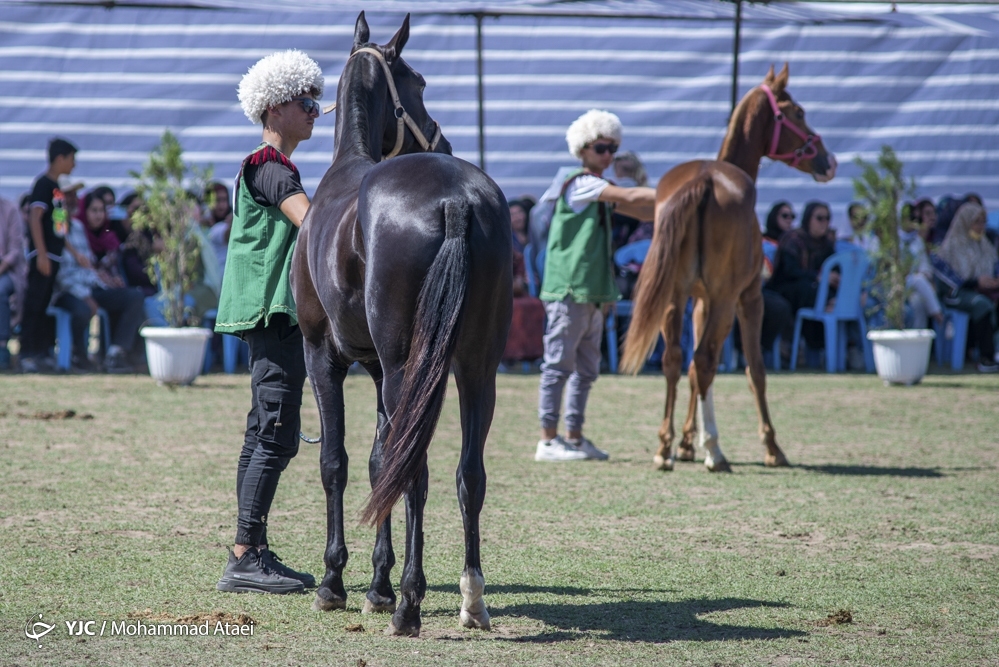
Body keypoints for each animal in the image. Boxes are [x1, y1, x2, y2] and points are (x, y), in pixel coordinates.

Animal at [288, 10, 508, 636]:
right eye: (423, 83)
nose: (445, 137)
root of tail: (456, 200)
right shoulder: (380, 371)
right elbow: (379, 460)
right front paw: (378, 585)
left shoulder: (325, 357)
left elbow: (337, 463)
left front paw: (338, 582)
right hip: (475, 369)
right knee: (466, 473)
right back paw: (471, 600)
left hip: (409, 366)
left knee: (419, 471)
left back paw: (411, 604)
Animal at [616, 66, 836, 474]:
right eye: (798, 112)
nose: (828, 161)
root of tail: (703, 179)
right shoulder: (747, 299)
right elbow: (755, 370)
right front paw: (771, 447)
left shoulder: (699, 302)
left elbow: (693, 370)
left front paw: (687, 442)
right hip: (725, 299)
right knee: (704, 360)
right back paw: (715, 452)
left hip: (675, 297)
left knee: (676, 359)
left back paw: (665, 447)